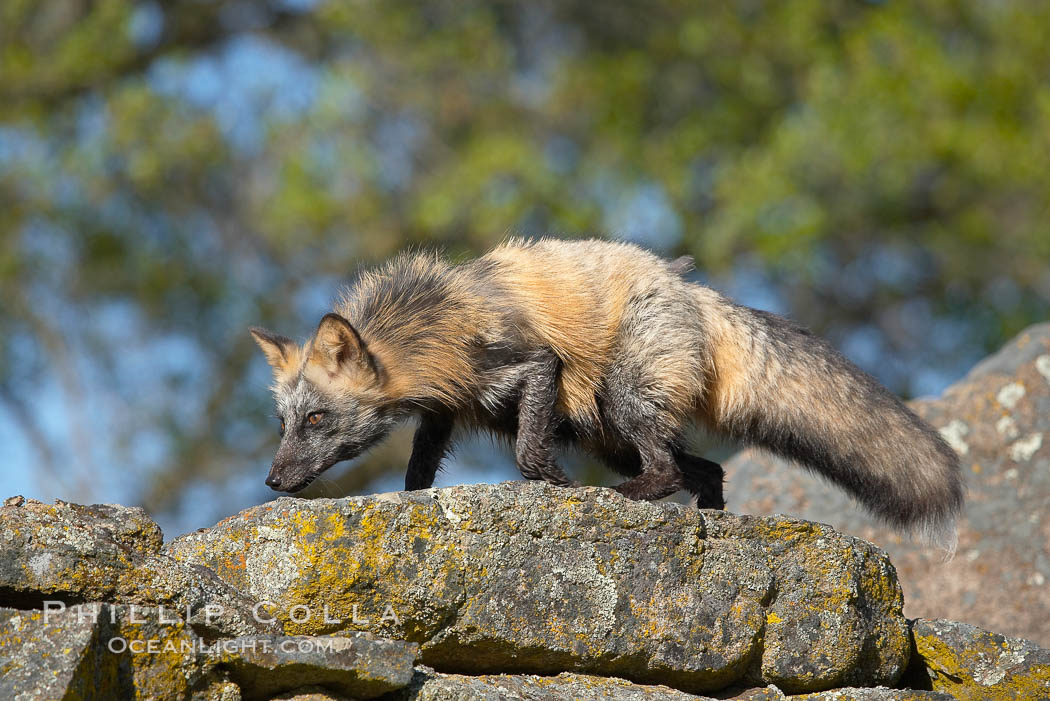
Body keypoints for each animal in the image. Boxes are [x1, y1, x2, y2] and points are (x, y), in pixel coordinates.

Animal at [249, 238, 961, 545]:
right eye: (285, 423)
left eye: (316, 420)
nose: (273, 482)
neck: (433, 324)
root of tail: (696, 292)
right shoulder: (447, 410)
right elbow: (419, 472)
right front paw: (412, 503)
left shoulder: (531, 369)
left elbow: (529, 455)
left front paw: (556, 490)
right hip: (611, 433)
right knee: (702, 469)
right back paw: (707, 520)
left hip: (619, 403)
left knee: (669, 469)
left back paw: (627, 501)